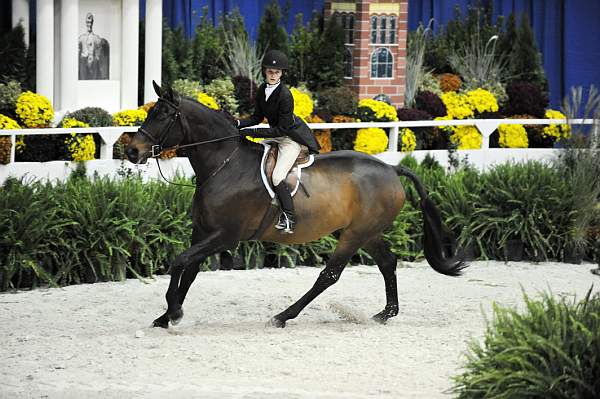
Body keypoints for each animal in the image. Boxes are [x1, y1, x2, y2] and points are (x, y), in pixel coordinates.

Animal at [126, 83, 466, 330]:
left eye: (162, 116)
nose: (132, 151)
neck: (224, 164)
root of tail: (391, 169)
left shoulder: (225, 237)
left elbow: (179, 262)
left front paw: (174, 311)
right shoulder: (202, 232)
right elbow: (189, 270)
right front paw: (166, 316)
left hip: (354, 235)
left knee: (329, 275)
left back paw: (282, 316)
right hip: (366, 232)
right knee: (387, 263)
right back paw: (385, 314)